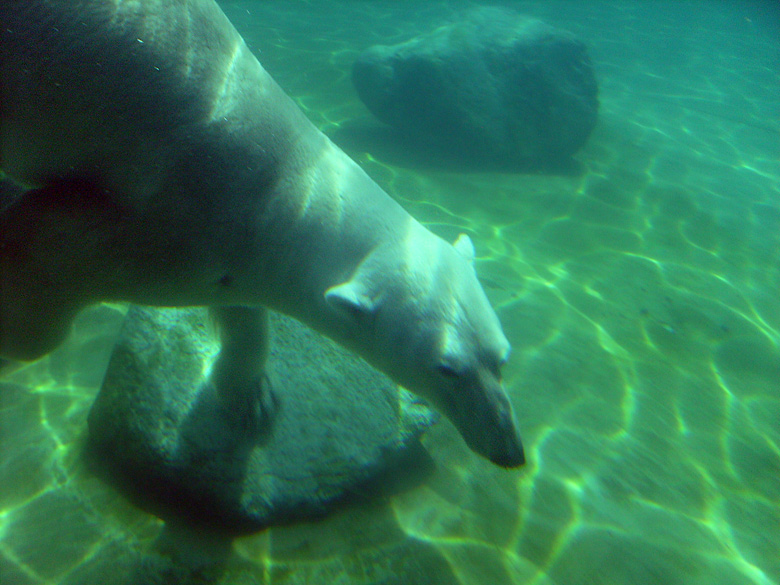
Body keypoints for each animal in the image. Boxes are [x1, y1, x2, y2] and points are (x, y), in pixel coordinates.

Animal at [1, 0, 524, 466]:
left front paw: (254, 399)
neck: (289, 186)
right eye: (446, 369)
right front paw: (14, 339)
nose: (509, 450)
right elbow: (45, 247)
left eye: (502, 356)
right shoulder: (171, 220)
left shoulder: (233, 251)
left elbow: (244, 312)